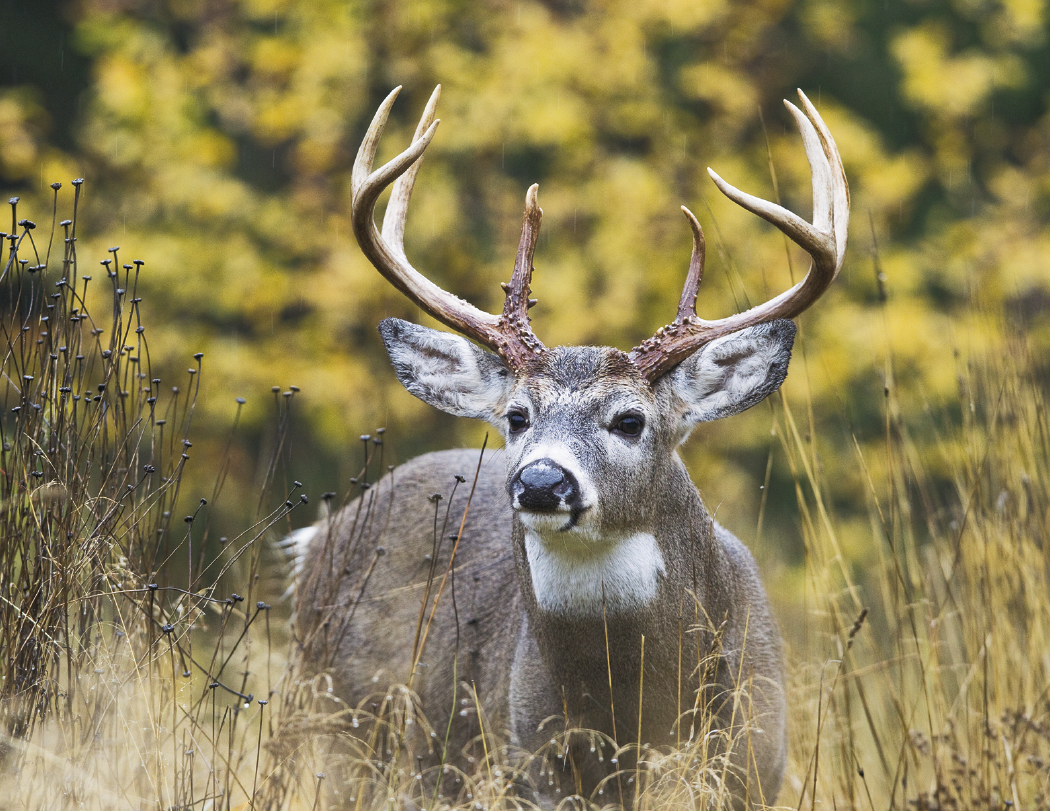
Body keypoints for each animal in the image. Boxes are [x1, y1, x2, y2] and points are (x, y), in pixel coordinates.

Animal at [292, 85, 848, 809]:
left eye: (630, 420)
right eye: (517, 416)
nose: (540, 483)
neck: (630, 714)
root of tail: (317, 540)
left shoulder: (757, 762)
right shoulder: (529, 762)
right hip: (339, 727)